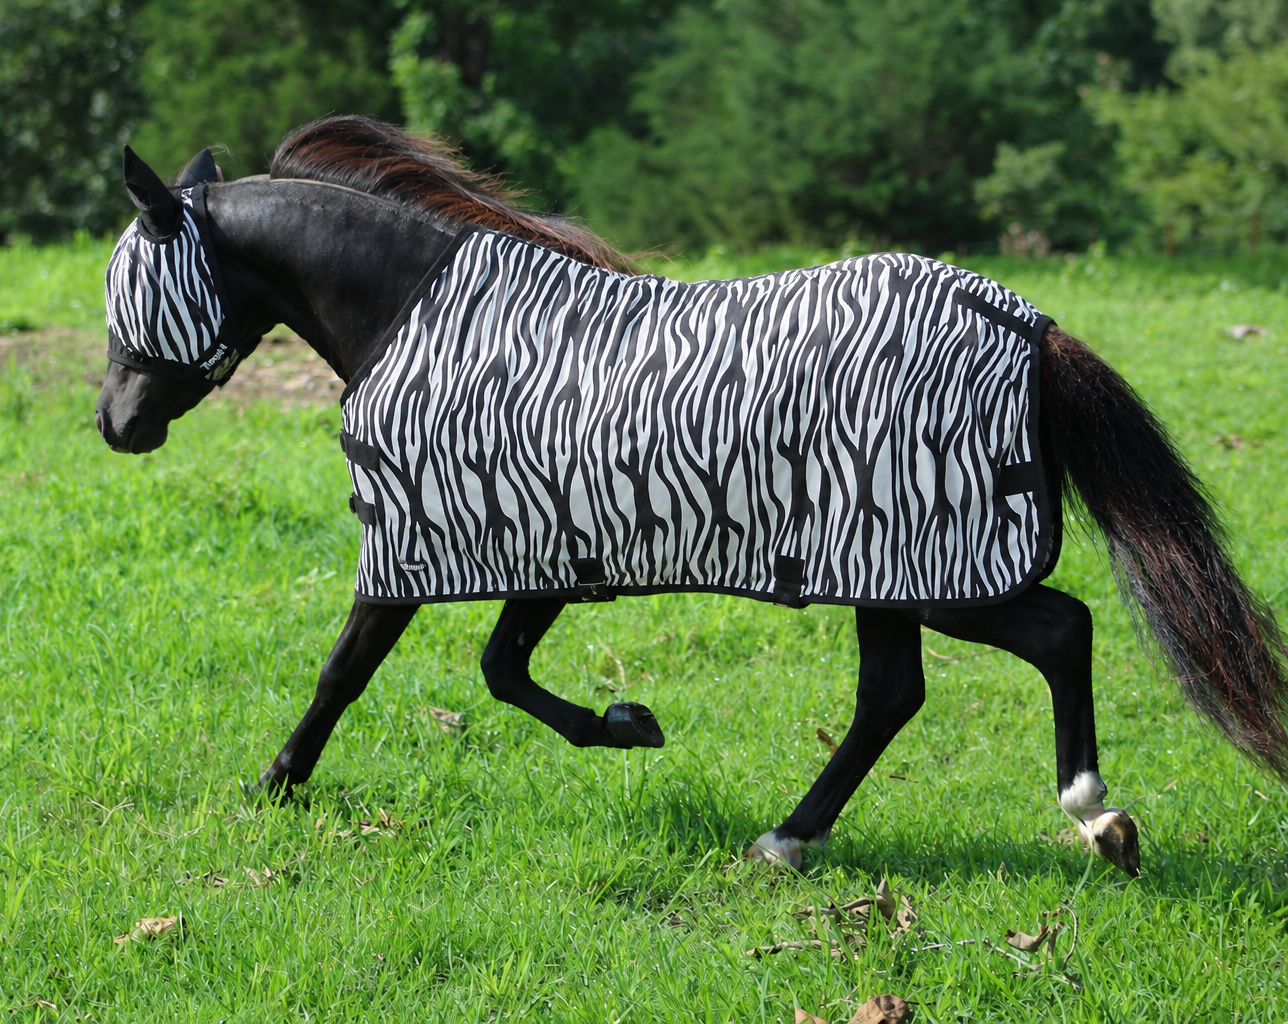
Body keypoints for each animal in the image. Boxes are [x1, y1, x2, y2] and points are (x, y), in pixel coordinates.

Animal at [95, 116, 1288, 877]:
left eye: (127, 283)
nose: (115, 424)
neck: (414, 318)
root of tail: (1020, 320)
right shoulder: (548, 552)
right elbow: (498, 671)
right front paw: (628, 724)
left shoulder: (428, 544)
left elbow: (353, 672)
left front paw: (275, 786)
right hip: (885, 577)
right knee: (900, 692)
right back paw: (798, 839)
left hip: (930, 566)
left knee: (1053, 631)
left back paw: (1089, 816)